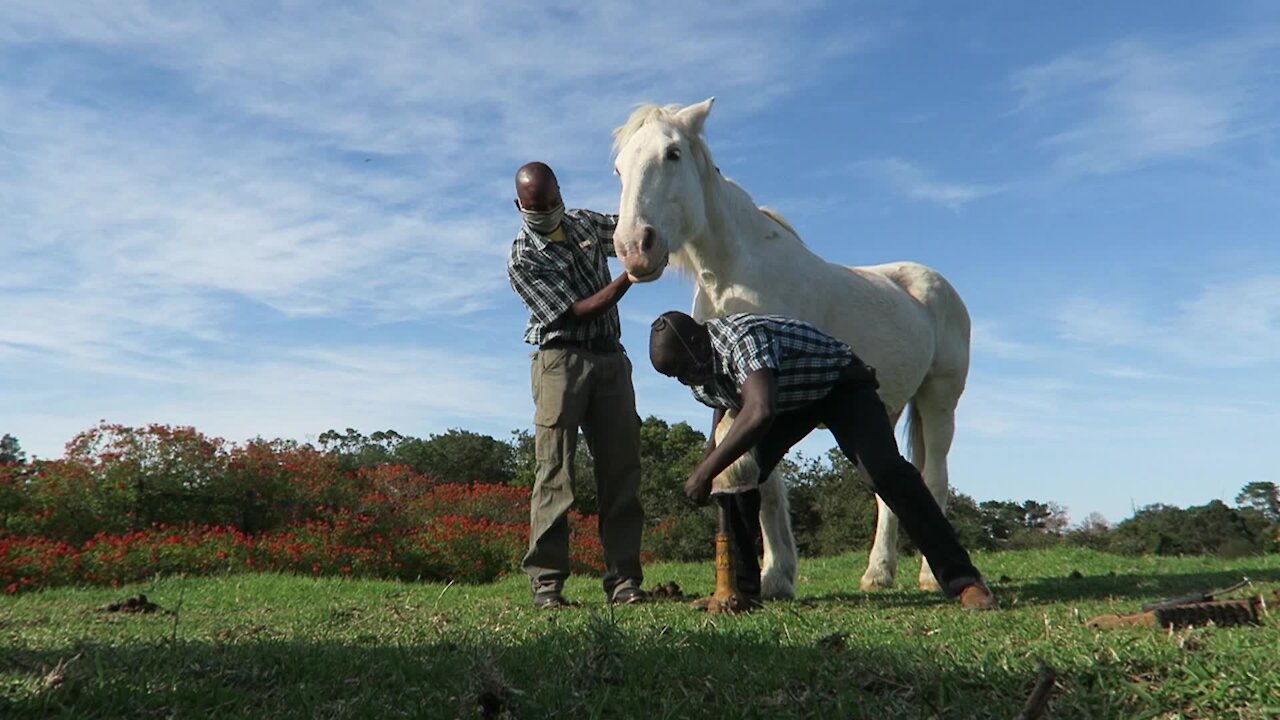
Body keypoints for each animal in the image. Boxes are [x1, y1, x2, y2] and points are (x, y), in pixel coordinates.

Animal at [609, 99, 967, 594]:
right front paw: (775, 576)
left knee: (933, 478)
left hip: (939, 399)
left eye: (673, 153)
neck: (734, 275)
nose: (632, 248)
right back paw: (878, 573)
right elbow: (764, 485)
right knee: (888, 488)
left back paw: (931, 577)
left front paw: (774, 576)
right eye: (619, 169)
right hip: (889, 406)